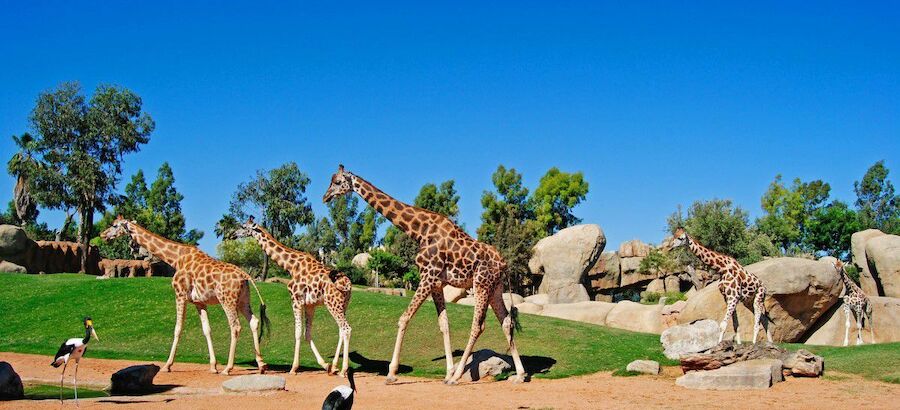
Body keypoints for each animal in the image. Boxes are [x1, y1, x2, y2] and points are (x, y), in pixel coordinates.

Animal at [101, 218, 270, 374]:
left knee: (235, 326)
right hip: (243, 301)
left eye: (114, 225)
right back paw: (261, 364)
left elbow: (178, 328)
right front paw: (213, 366)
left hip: (227, 300)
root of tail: (245, 276)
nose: (102, 235)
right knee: (254, 321)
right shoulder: (199, 302)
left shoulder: (180, 294)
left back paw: (228, 368)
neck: (176, 259)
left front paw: (167, 365)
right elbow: (207, 329)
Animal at [234, 216, 354, 376]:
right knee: (341, 330)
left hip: (333, 304)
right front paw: (326, 365)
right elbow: (307, 334)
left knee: (346, 329)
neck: (291, 266)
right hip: (342, 305)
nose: (232, 234)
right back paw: (335, 367)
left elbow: (297, 333)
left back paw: (343, 370)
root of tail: (348, 285)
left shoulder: (296, 300)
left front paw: (293, 368)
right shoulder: (310, 305)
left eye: (243, 226)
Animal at [324, 164, 532, 384]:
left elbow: (404, 318)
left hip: (481, 284)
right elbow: (444, 324)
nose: (325, 197)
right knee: (506, 322)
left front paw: (392, 373)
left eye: (337, 182)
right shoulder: (437, 283)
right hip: (495, 287)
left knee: (478, 326)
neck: (420, 231)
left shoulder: (427, 275)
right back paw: (519, 375)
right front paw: (447, 370)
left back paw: (457, 377)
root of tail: (504, 264)